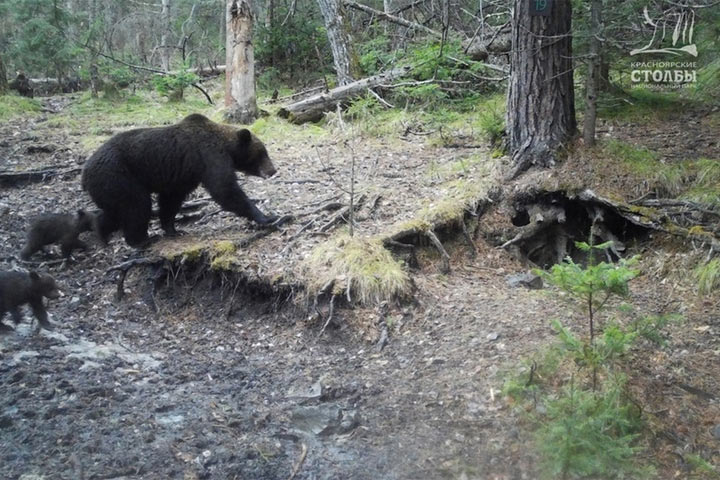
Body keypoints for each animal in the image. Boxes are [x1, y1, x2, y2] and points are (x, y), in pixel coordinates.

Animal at [81, 113, 278, 248]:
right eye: (262, 153)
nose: (273, 170)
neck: (228, 147)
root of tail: (85, 173)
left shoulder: (181, 175)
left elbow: (171, 200)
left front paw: (174, 229)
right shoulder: (210, 156)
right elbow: (224, 189)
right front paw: (267, 216)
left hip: (109, 186)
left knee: (115, 211)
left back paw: (100, 230)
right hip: (118, 176)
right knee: (137, 205)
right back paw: (142, 240)